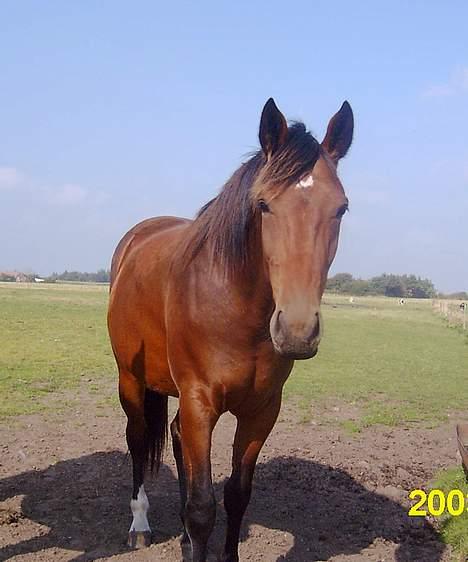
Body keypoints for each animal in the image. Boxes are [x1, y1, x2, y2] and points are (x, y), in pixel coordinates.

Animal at [108, 97, 352, 560]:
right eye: (264, 204)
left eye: (341, 208)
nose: (296, 330)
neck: (237, 309)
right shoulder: (200, 402)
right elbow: (204, 507)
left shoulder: (261, 410)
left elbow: (237, 494)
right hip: (131, 379)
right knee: (138, 439)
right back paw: (140, 524)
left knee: (175, 436)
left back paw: (182, 537)